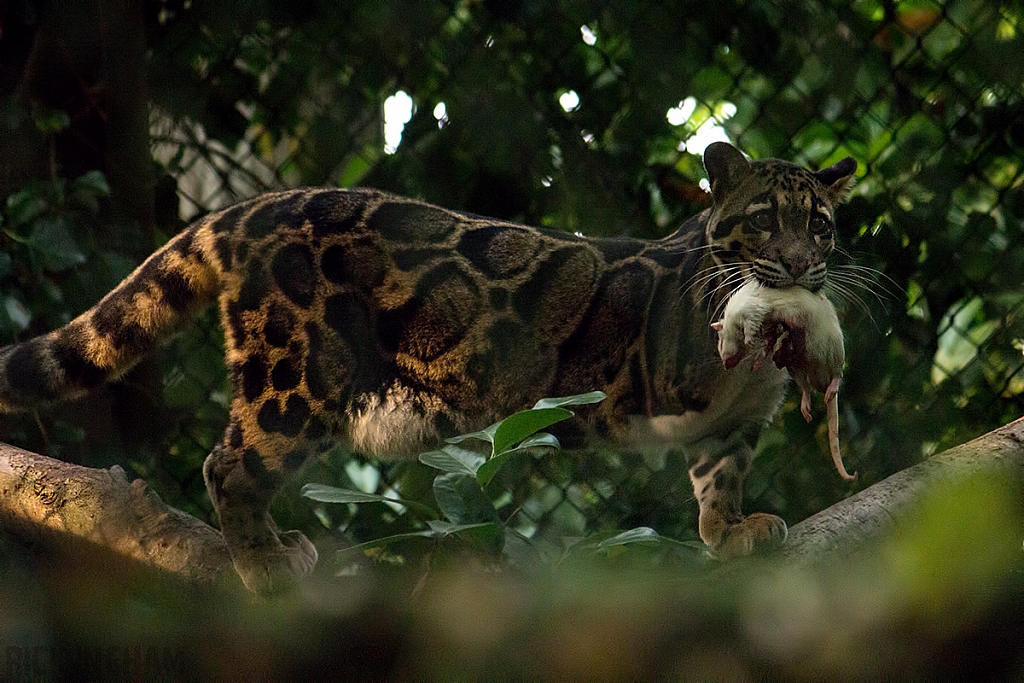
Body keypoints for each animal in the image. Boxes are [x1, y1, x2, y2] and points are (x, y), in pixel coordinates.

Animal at [0, 143, 856, 593]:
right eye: (764, 221)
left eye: (819, 223)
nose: (798, 265)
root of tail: (257, 205)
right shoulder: (669, 379)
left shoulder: (734, 424)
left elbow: (718, 476)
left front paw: (728, 529)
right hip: (299, 369)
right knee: (230, 462)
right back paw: (264, 558)